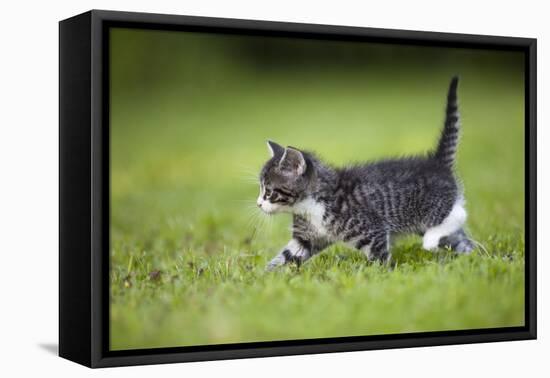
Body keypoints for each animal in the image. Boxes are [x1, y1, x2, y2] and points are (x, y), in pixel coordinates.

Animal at [258, 77, 474, 270]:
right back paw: (470, 256)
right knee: (460, 239)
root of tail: (436, 162)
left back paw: (433, 240)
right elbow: (286, 256)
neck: (310, 206)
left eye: (269, 191)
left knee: (458, 214)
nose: (259, 204)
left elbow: (379, 257)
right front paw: (264, 276)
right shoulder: (306, 237)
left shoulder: (372, 230)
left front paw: (380, 275)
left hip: (433, 211)